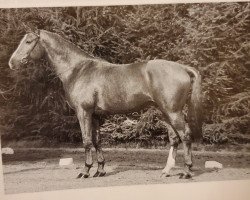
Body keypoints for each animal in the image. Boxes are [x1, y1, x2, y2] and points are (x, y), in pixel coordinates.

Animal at [8, 30, 202, 180]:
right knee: (174, 139)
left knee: (185, 136)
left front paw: (85, 171)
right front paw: (100, 170)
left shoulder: (83, 112)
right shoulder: (94, 115)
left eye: (28, 41)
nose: (11, 62)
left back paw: (186, 171)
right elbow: (97, 141)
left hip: (173, 112)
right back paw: (166, 171)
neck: (77, 70)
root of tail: (183, 68)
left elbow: (86, 141)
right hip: (165, 113)